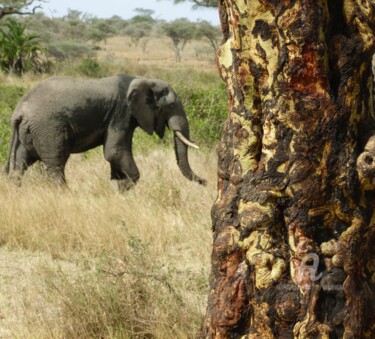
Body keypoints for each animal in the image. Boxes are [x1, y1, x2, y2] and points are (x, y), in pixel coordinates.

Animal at [4, 74, 207, 190]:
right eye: (171, 106)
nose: (205, 181)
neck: (143, 79)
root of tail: (19, 111)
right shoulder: (121, 112)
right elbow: (114, 151)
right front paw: (120, 188)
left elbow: (116, 154)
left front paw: (116, 187)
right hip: (48, 128)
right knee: (56, 163)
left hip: (27, 133)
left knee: (20, 163)